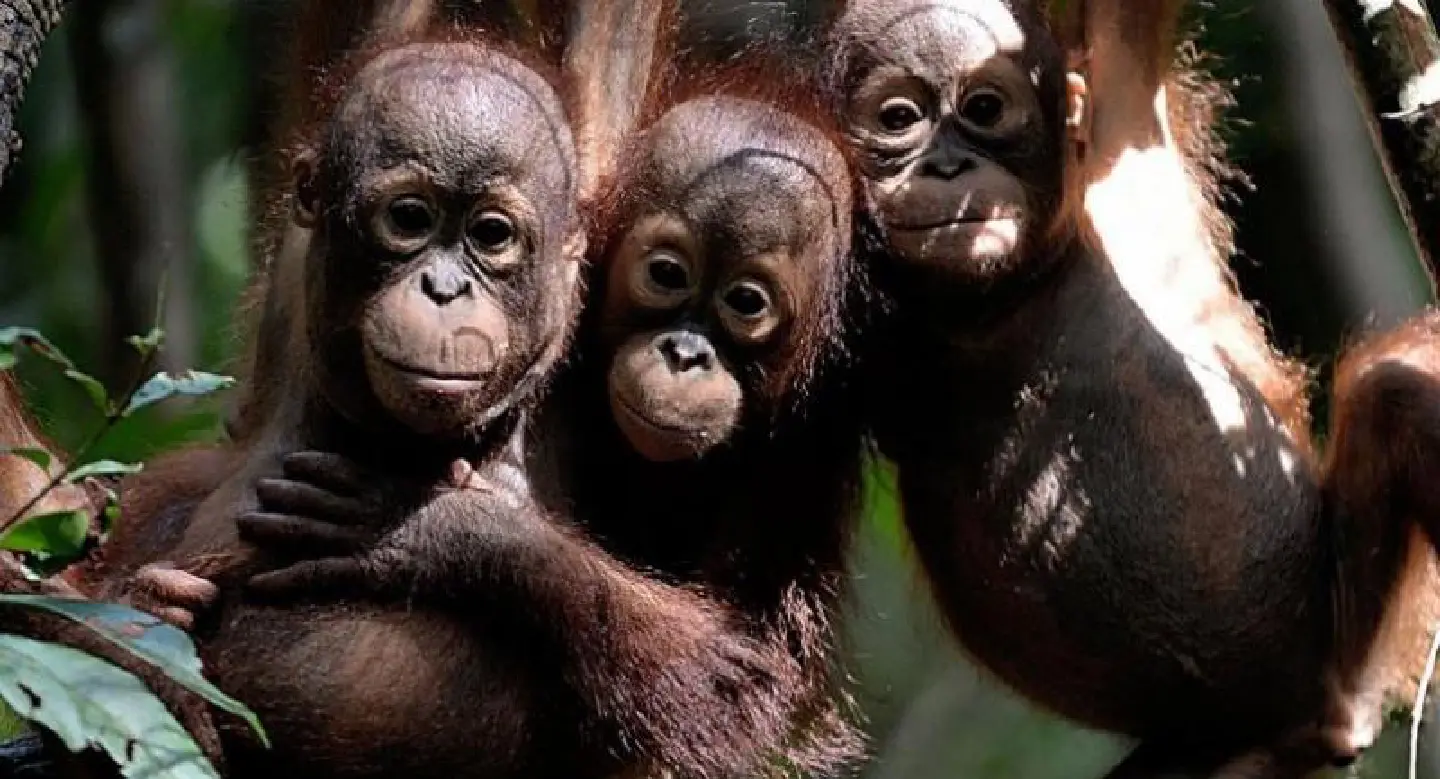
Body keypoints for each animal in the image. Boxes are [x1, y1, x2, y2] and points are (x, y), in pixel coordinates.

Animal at [824, 0, 1440, 774]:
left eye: (985, 107)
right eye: (899, 118)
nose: (947, 163)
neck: (1006, 300)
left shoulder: (1119, 118)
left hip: (1341, 635)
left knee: (1396, 397)